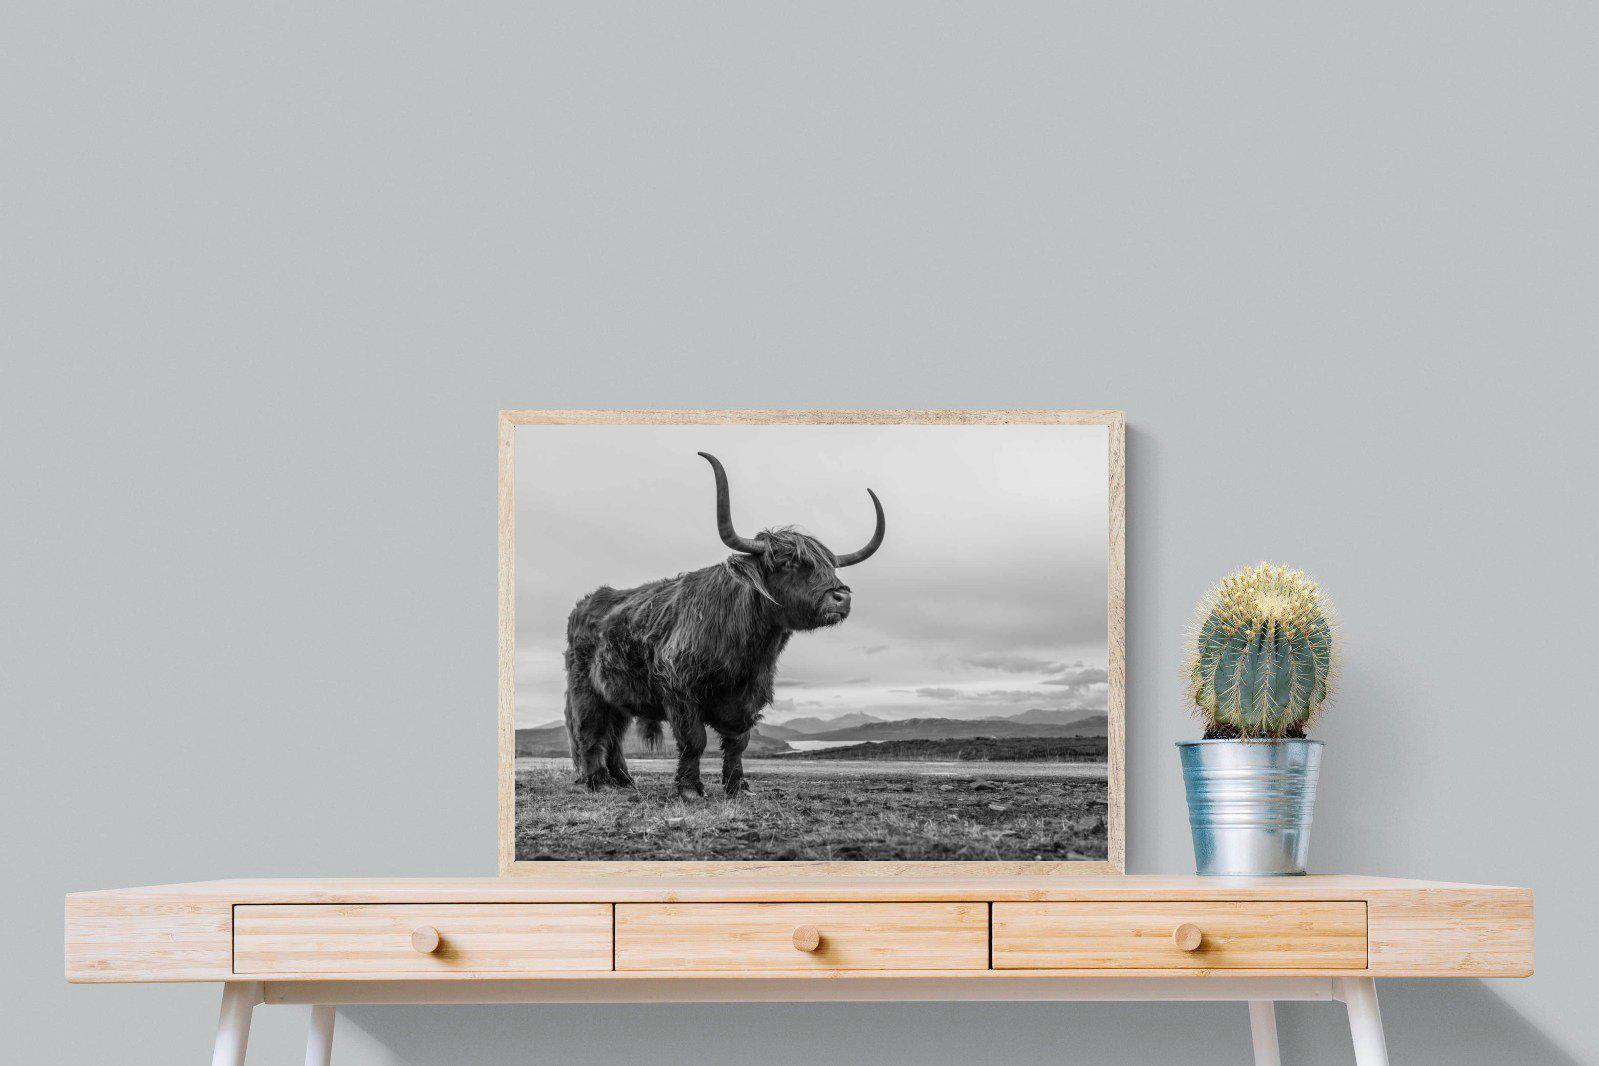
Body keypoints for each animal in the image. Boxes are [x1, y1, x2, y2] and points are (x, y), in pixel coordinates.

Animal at [563, 452, 885, 800]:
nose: (841, 597)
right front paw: (690, 789)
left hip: (617, 696)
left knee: (615, 734)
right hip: (586, 689)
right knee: (590, 730)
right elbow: (694, 740)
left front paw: (737, 786)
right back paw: (598, 781)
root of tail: (585, 604)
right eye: (788, 562)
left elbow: (737, 742)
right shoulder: (679, 688)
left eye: (831, 566)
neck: (747, 651)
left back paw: (623, 779)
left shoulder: (749, 697)